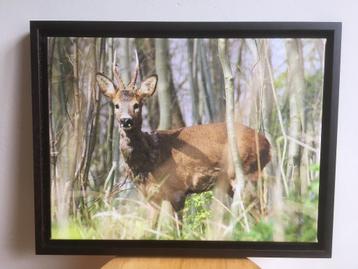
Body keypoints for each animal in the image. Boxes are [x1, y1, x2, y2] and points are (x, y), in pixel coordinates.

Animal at [96, 64, 270, 211]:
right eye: (116, 105)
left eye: (137, 104)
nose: (126, 120)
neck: (150, 159)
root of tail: (267, 144)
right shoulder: (151, 197)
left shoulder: (177, 189)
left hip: (246, 172)